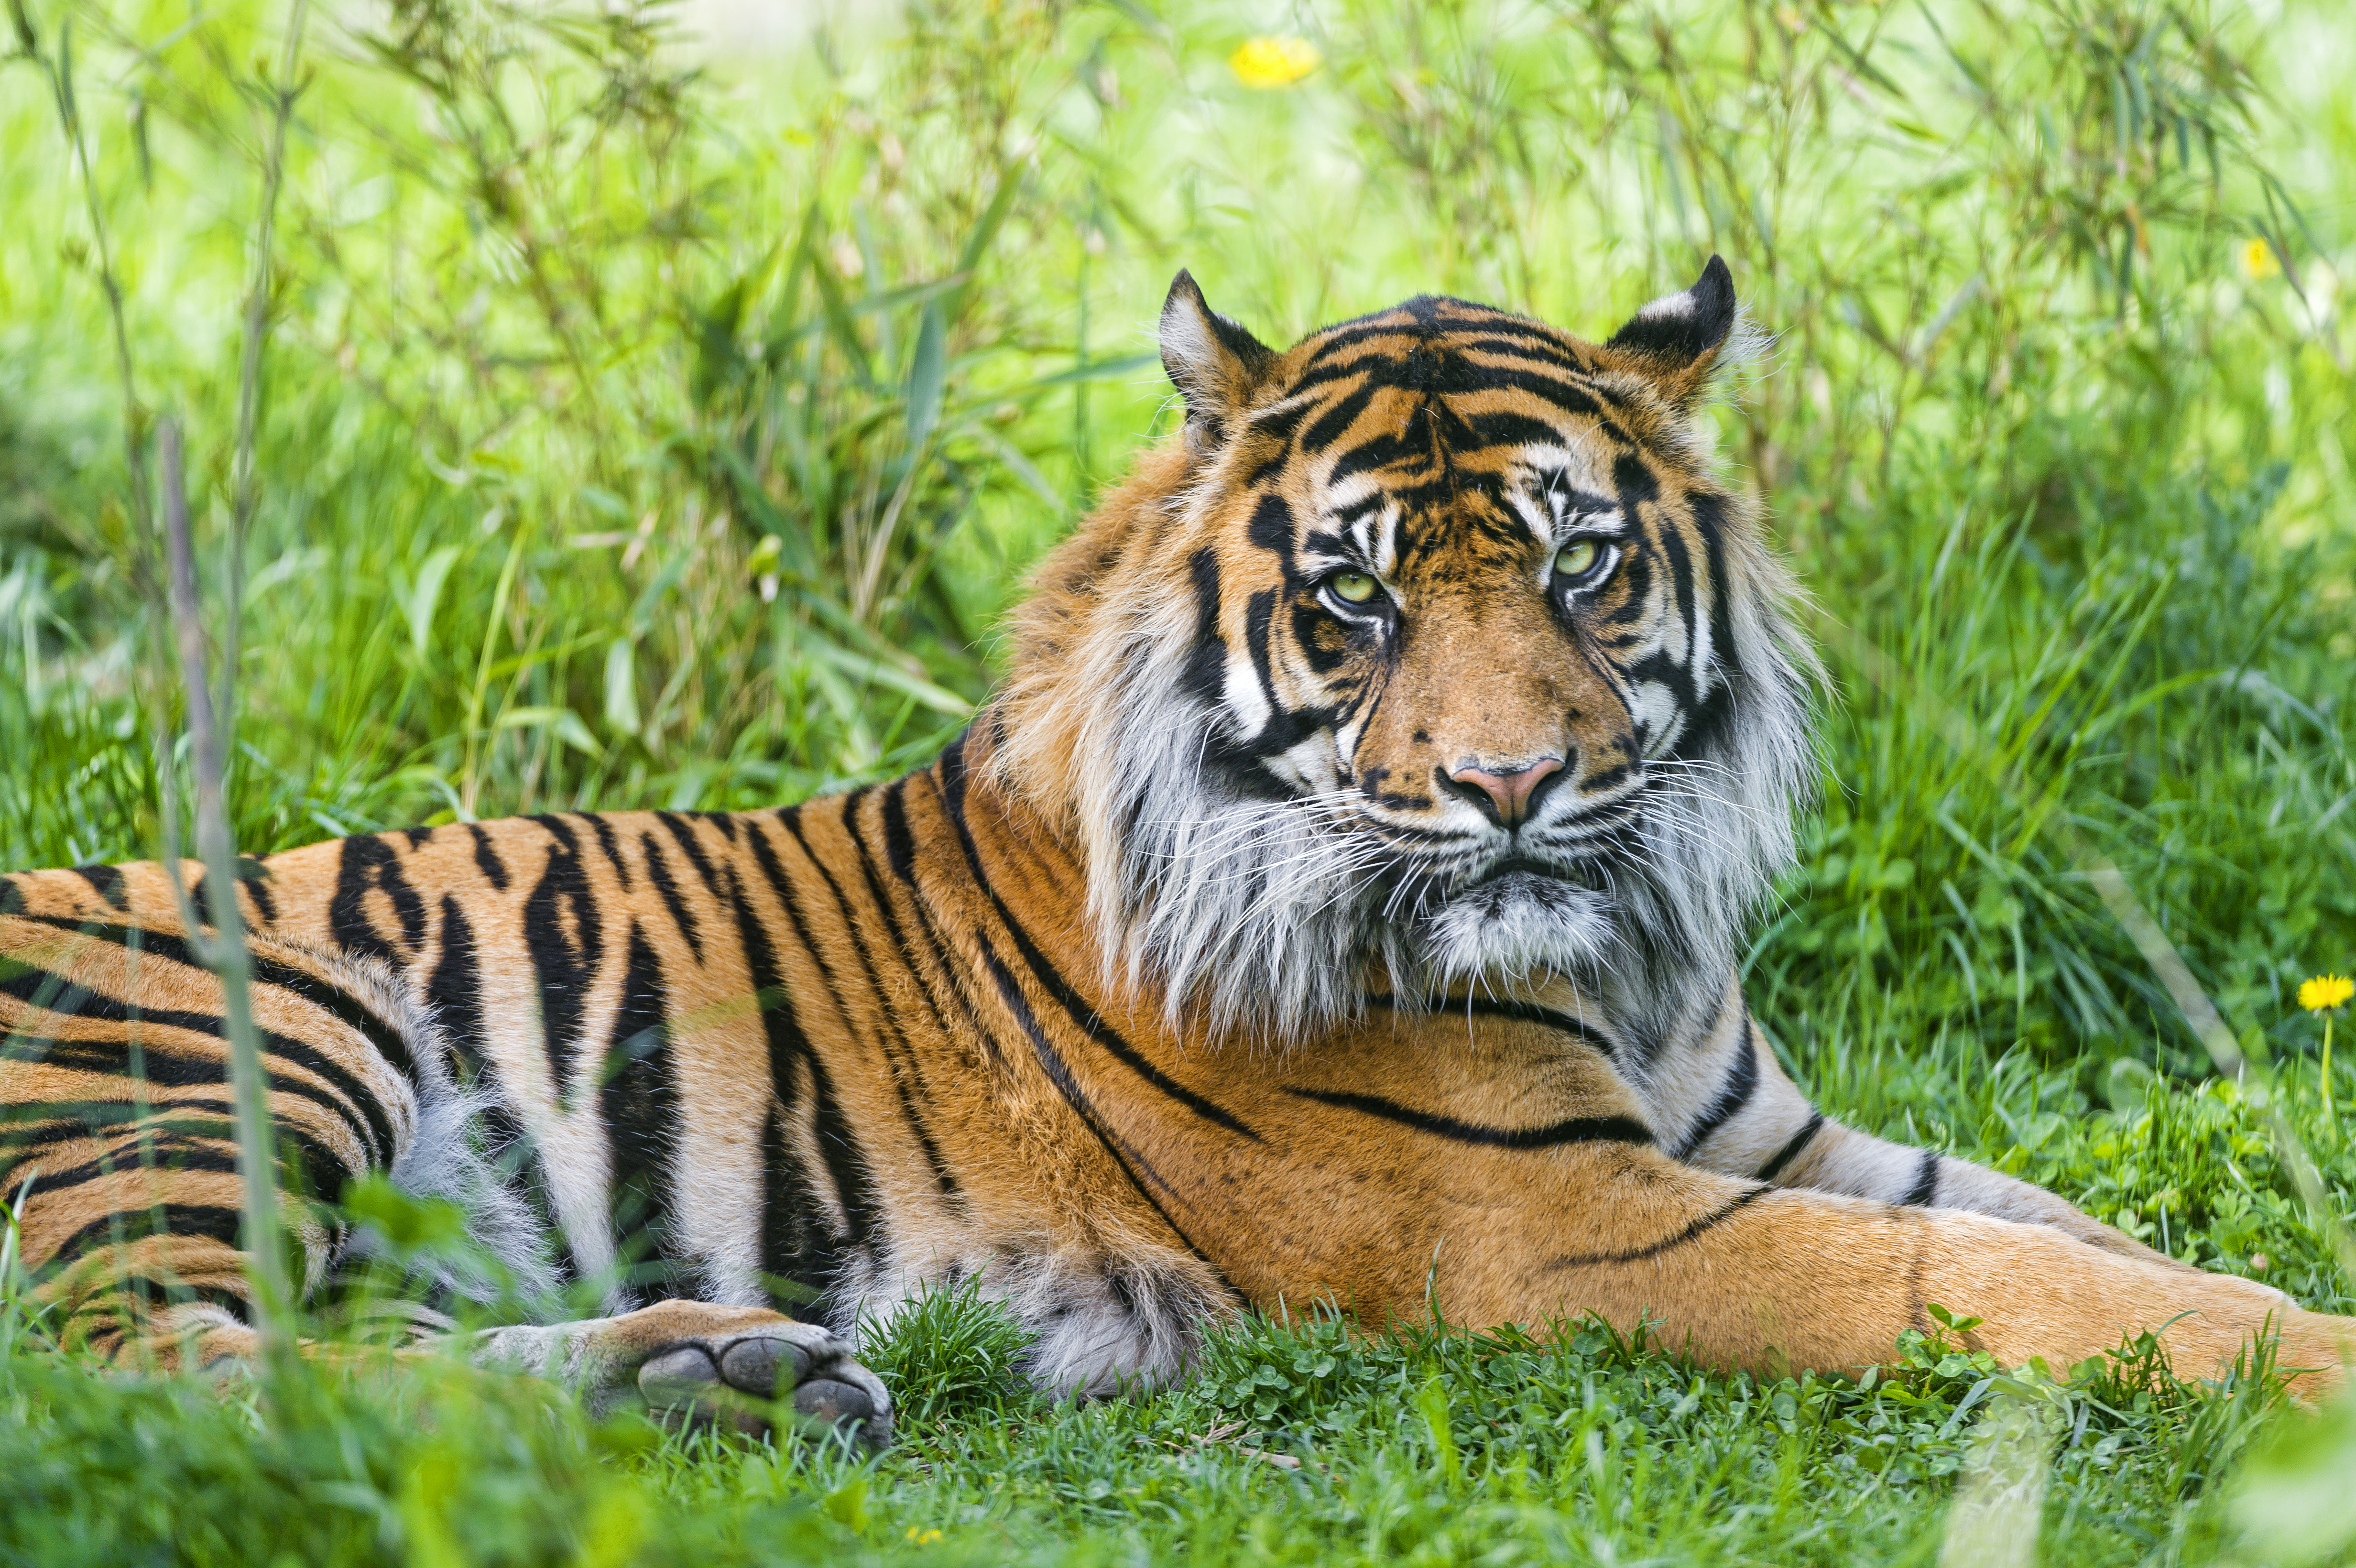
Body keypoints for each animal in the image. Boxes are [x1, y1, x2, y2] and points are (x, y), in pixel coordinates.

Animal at [4, 259, 2356, 1441]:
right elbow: (2001, 1280)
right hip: (240, 1040)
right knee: (140, 1368)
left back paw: (718, 1374)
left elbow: (2081, 1237)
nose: (1514, 787)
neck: (1620, 958)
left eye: (1581, 567)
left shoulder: (1765, 1137)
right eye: (1356, 598)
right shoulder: (1569, 1226)